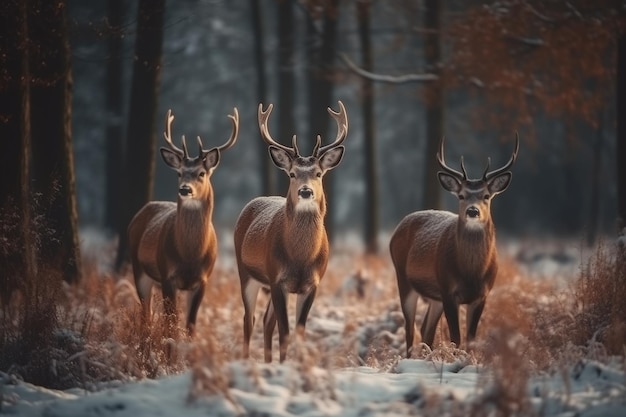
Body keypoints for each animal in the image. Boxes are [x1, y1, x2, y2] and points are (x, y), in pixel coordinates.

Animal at [125, 107, 238, 334]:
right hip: (139, 269)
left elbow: (190, 325)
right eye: (179, 173)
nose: (185, 189)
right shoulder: (168, 276)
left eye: (201, 173)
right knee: (145, 314)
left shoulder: (202, 280)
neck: (190, 255)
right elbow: (171, 324)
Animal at [234, 100, 348, 360]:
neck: (300, 259)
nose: (305, 191)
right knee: (249, 320)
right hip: (246, 273)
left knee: (266, 322)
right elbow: (285, 333)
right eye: (293, 173)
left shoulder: (312, 284)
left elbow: (299, 332)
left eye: (318, 173)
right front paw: (284, 365)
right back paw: (246, 360)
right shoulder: (278, 280)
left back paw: (267, 361)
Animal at [390, 135, 516, 356]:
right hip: (404, 279)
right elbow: (456, 338)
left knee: (426, 329)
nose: (473, 211)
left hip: (435, 295)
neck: (471, 273)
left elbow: (471, 338)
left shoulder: (482, 294)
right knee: (410, 330)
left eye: (486, 196)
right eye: (461, 195)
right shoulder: (449, 291)